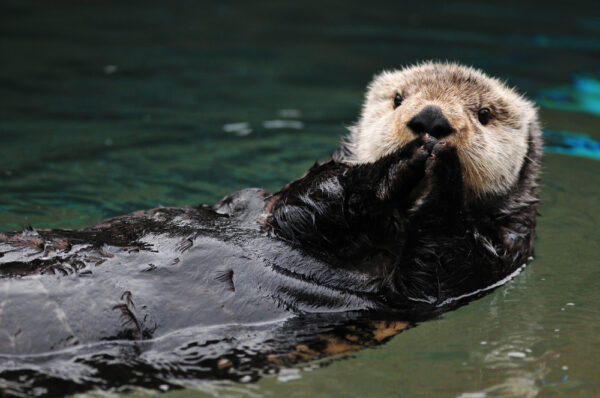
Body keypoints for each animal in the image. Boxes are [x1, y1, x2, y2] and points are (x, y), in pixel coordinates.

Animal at [0, 62, 540, 394]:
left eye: (484, 114)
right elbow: (313, 197)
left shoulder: (489, 261)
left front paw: (441, 174)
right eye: (397, 99)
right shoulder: (282, 205)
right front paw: (396, 165)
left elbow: (434, 263)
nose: (430, 120)